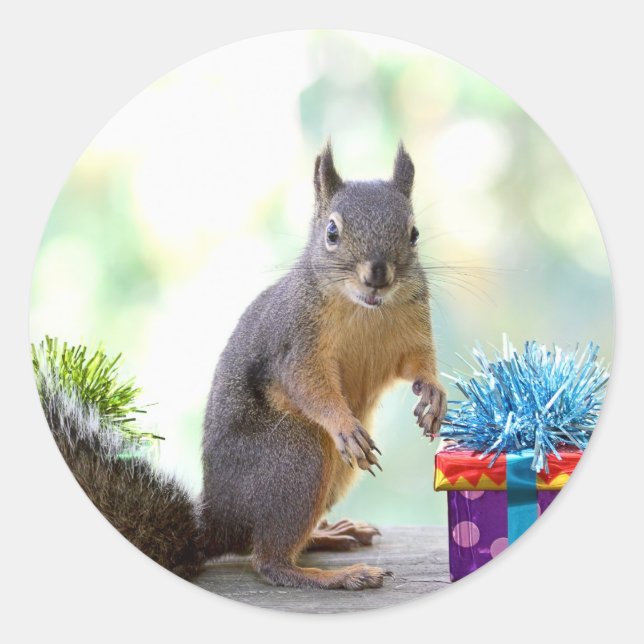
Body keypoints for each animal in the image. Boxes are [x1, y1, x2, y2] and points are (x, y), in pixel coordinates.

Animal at [39, 142, 447, 590]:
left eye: (414, 233)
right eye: (332, 232)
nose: (377, 275)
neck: (366, 311)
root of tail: (217, 524)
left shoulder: (412, 330)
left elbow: (418, 364)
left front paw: (434, 394)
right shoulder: (295, 345)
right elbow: (309, 386)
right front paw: (343, 424)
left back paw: (330, 535)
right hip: (296, 455)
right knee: (269, 561)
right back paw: (335, 576)